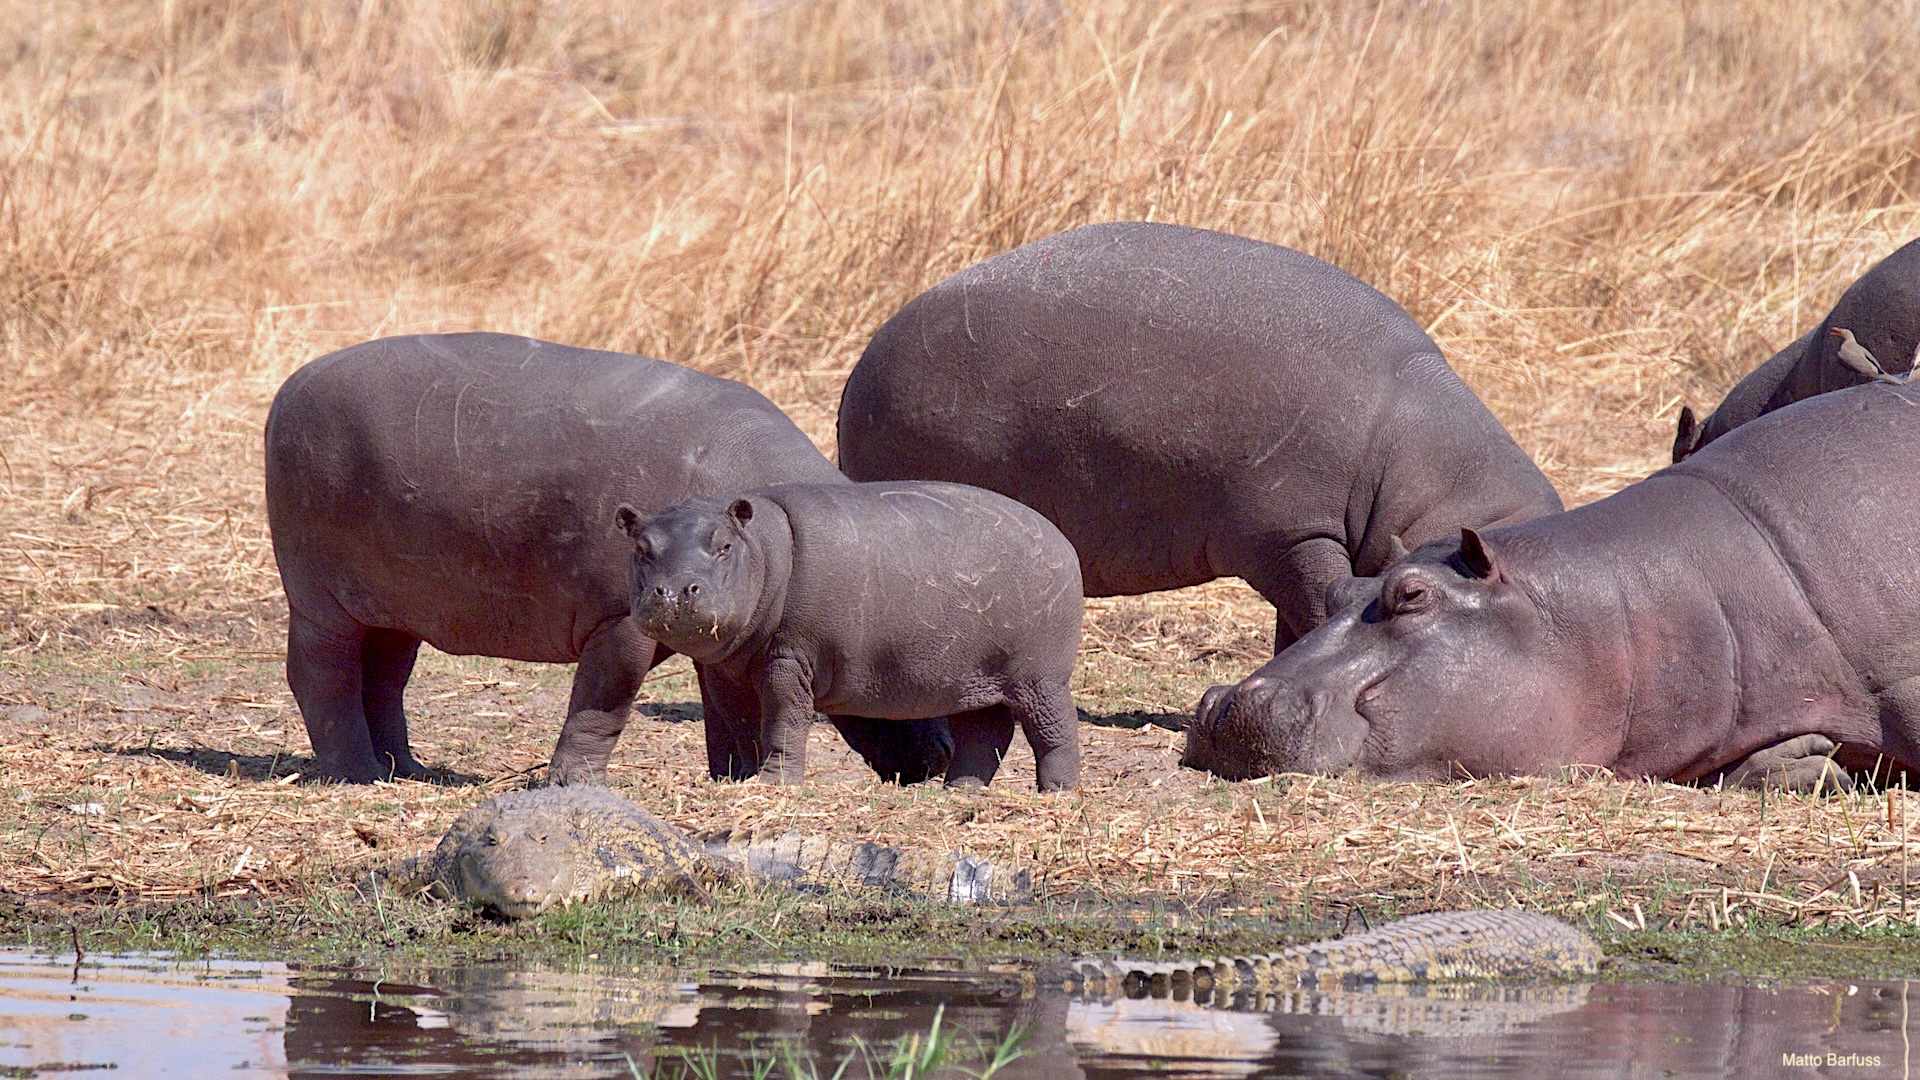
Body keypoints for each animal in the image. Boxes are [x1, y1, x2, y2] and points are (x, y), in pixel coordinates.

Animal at [264, 333, 950, 785]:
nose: (942, 757)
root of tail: (293, 381)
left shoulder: (724, 627)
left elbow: (729, 707)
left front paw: (731, 779)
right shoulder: (619, 621)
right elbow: (603, 703)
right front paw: (573, 785)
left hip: (391, 605)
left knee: (383, 678)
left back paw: (405, 770)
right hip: (319, 598)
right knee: (321, 676)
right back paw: (356, 774)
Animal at [614, 481, 1084, 791]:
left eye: (724, 545)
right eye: (640, 548)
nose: (675, 590)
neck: (761, 550)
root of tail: (1061, 540)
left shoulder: (789, 659)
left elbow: (783, 721)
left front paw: (775, 785)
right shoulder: (725, 672)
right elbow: (744, 725)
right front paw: (744, 781)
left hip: (1039, 676)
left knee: (1055, 728)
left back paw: (1057, 793)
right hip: (975, 678)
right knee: (985, 732)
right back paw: (959, 792)